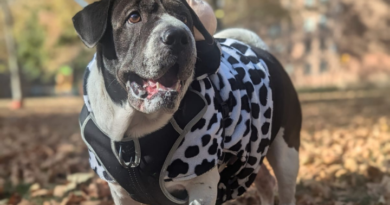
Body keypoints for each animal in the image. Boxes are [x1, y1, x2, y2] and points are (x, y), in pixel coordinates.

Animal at [74, 0, 304, 205]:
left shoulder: (201, 188)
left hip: (286, 155)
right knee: (265, 182)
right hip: (252, 151)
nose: (178, 35)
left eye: (185, 18)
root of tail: (263, 52)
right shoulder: (120, 194)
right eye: (134, 17)